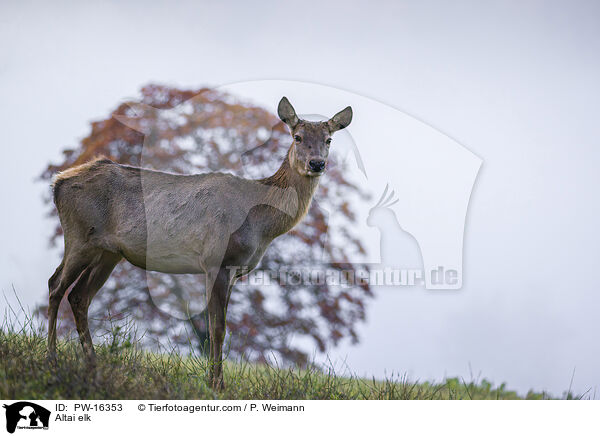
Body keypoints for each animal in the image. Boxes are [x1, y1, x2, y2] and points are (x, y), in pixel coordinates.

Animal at [49, 97, 354, 390]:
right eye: (298, 136)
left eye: (329, 139)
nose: (317, 163)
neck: (260, 222)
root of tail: (57, 183)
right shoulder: (215, 260)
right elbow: (217, 327)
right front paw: (216, 385)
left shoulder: (234, 270)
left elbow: (218, 327)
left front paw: (215, 381)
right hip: (79, 236)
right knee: (56, 286)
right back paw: (52, 358)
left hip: (108, 252)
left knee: (79, 296)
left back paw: (92, 365)